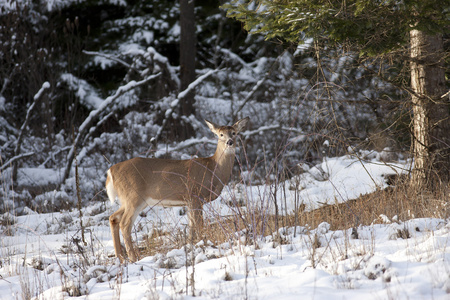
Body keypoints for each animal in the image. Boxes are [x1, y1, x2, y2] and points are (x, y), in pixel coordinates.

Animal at [107, 116, 251, 262]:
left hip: (130, 200)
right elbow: (199, 225)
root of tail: (111, 171)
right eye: (220, 134)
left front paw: (191, 246)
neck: (213, 169)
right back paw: (133, 258)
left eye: (234, 133)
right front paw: (203, 244)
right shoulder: (195, 195)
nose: (229, 142)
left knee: (113, 218)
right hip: (133, 196)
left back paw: (120, 257)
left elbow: (192, 227)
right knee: (125, 224)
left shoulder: (189, 201)